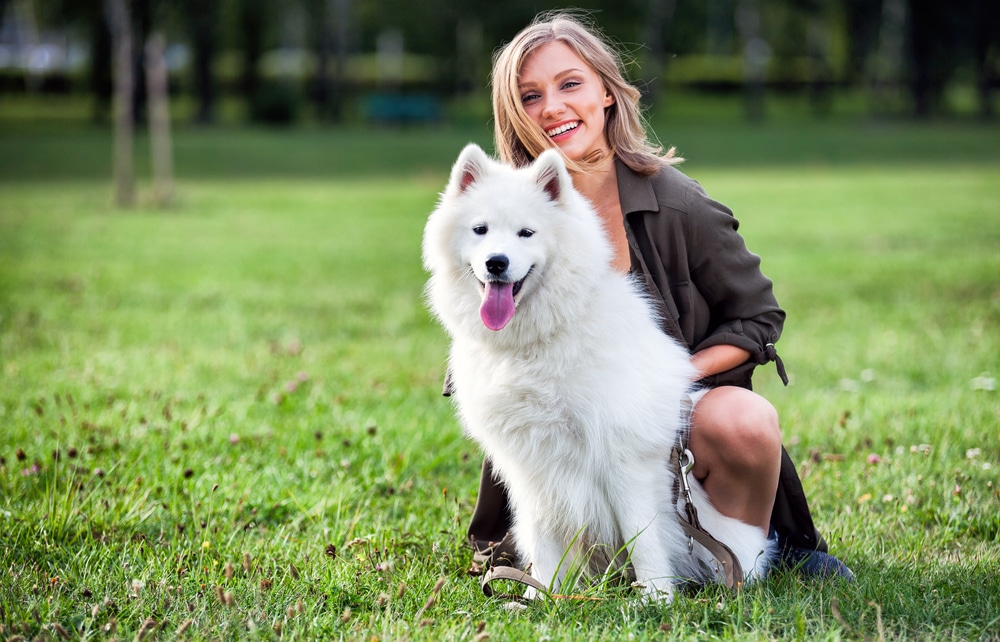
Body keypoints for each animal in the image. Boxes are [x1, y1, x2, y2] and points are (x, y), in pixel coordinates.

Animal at [422, 145, 772, 600]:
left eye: (526, 233)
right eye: (480, 229)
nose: (496, 263)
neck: (536, 341)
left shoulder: (623, 458)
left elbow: (643, 536)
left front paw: (656, 599)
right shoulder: (531, 467)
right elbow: (542, 543)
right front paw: (540, 598)